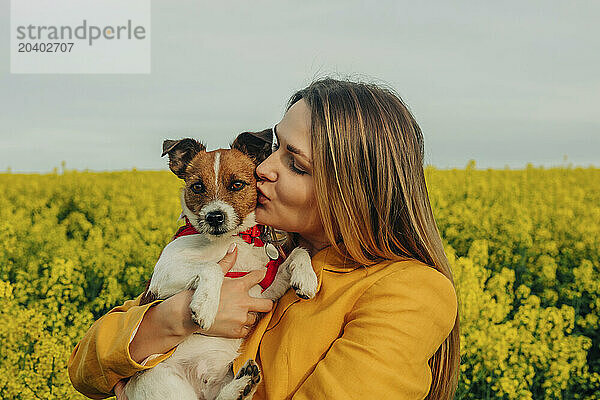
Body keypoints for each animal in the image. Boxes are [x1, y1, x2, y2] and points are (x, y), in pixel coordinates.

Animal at [122, 130, 318, 398]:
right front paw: (205, 305)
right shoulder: (163, 274)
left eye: (237, 184)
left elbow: (298, 252)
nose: (214, 217)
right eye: (197, 187)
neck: (230, 240)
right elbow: (212, 266)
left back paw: (244, 383)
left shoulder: (262, 292)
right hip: (162, 380)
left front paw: (306, 278)